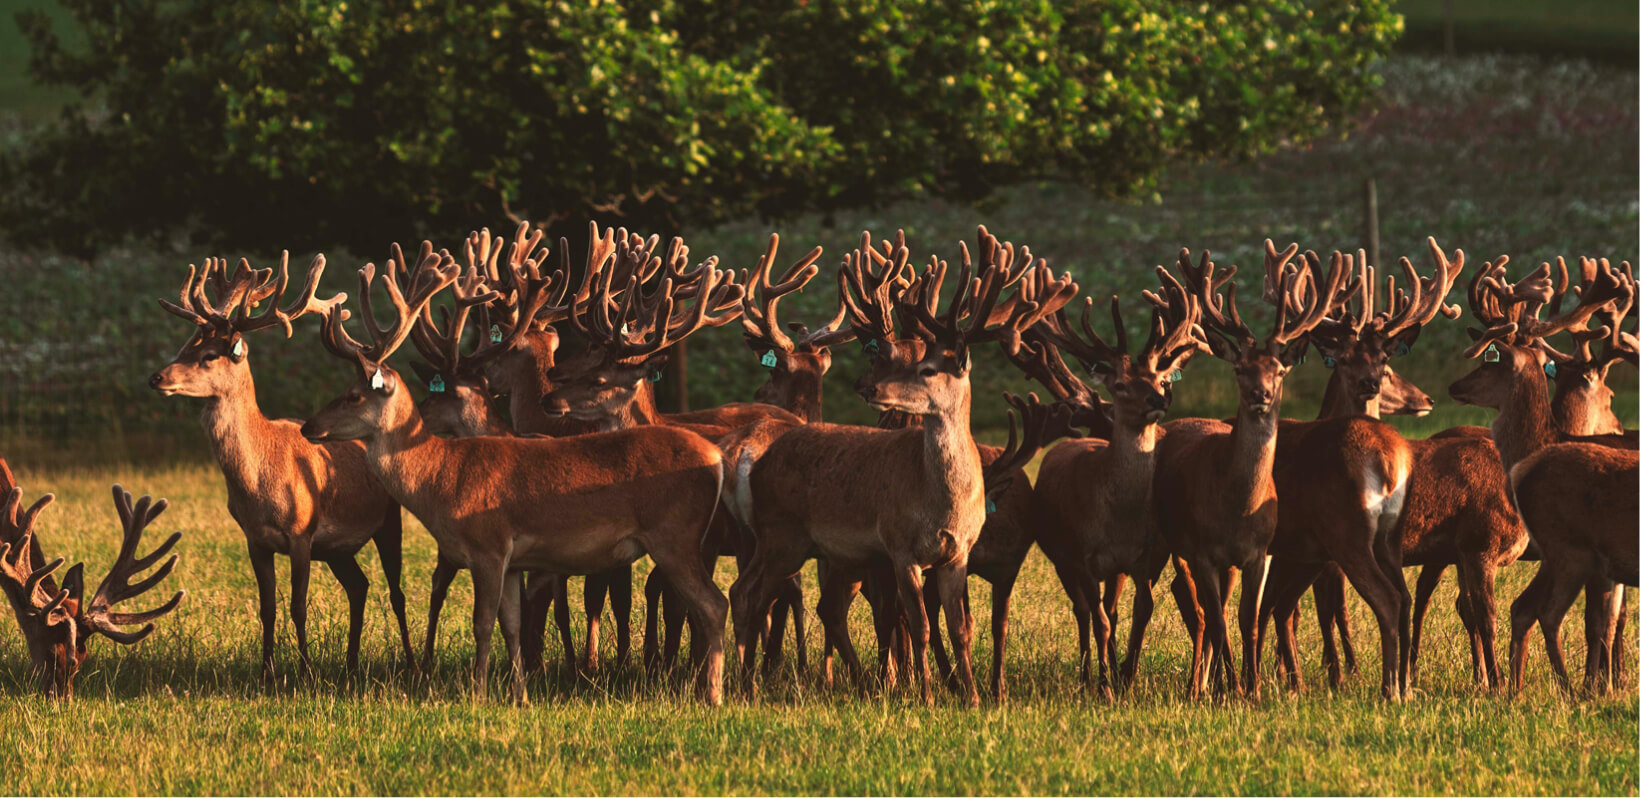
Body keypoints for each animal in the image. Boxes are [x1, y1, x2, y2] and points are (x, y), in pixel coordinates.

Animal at [150, 250, 413, 681]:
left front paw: (303, 672)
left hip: (390, 520)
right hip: (337, 549)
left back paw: (409, 661)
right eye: (183, 348)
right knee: (359, 587)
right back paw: (351, 663)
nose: (156, 377)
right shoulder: (255, 539)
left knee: (397, 592)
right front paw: (266, 672)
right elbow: (267, 608)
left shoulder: (301, 531)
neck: (258, 482)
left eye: (208, 356)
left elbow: (297, 606)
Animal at [303, 247, 738, 701]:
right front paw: (520, 695)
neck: (442, 479)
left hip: (675, 535)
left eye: (354, 395)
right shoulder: (513, 561)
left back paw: (712, 694)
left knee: (713, 604)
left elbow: (483, 623)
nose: (308, 426)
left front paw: (477, 692)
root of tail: (715, 458)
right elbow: (512, 624)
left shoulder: (489, 545)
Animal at [734, 226, 1069, 704]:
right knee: (749, 593)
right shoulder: (899, 547)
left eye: (928, 369)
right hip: (782, 534)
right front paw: (925, 695)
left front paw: (971, 697)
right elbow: (921, 625)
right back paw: (740, 683)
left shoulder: (956, 554)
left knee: (772, 597)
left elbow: (961, 628)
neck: (940, 502)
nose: (870, 388)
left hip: (805, 546)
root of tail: (758, 461)